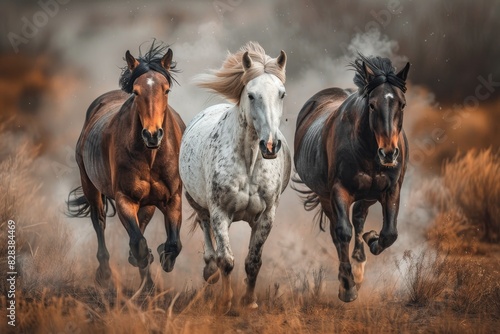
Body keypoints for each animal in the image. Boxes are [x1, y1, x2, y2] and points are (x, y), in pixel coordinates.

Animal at [65, 42, 185, 290]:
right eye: (136, 92)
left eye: (166, 90)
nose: (152, 134)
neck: (151, 156)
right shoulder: (125, 198)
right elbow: (139, 243)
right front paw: (145, 268)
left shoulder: (173, 198)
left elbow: (173, 244)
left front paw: (161, 257)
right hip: (91, 187)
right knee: (99, 222)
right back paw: (104, 274)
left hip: (147, 202)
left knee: (143, 223)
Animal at [180, 41, 292, 314]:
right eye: (251, 95)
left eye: (281, 93)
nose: (270, 145)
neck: (249, 162)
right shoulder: (220, 212)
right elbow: (227, 260)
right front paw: (227, 301)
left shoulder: (266, 215)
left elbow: (253, 261)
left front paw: (249, 301)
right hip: (198, 203)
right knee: (206, 230)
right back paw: (209, 270)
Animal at [292, 54, 410, 302]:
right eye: (372, 104)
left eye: (402, 104)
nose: (388, 153)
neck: (367, 149)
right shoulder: (339, 191)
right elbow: (342, 232)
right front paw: (347, 287)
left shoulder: (391, 189)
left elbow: (389, 234)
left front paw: (372, 239)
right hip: (326, 196)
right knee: (339, 231)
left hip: (368, 194)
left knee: (359, 217)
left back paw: (360, 262)